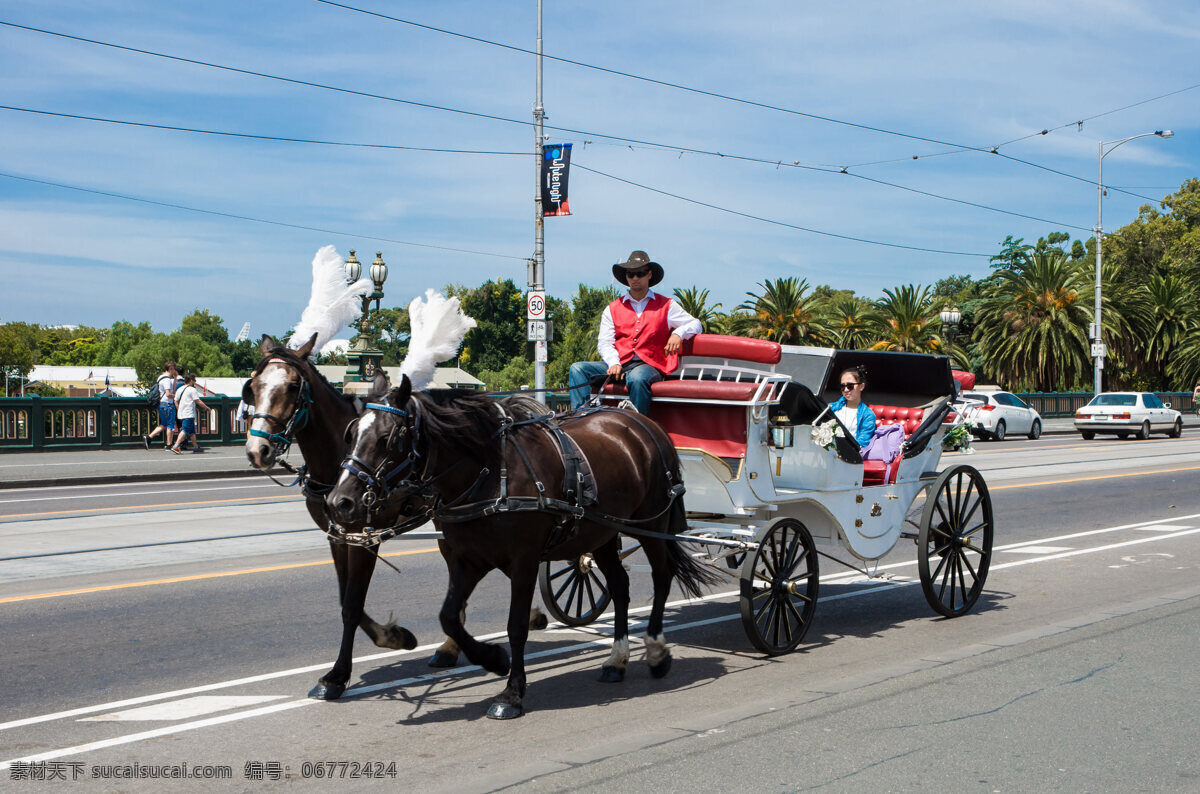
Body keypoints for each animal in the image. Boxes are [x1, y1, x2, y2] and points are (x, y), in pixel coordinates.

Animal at [326, 376, 720, 719]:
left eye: (387, 438)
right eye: (351, 434)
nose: (339, 502)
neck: (488, 475)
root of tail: (643, 422)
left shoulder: (524, 561)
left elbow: (516, 626)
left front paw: (511, 693)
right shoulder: (467, 561)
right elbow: (449, 616)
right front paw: (493, 659)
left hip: (652, 525)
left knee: (661, 577)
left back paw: (655, 650)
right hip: (605, 534)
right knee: (620, 586)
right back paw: (617, 660)